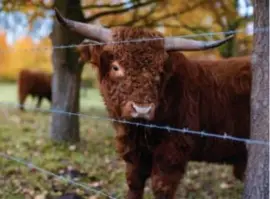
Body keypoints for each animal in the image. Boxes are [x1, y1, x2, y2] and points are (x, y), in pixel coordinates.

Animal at [54, 9, 251, 199]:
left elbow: (161, 188)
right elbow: (134, 184)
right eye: (116, 67)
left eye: (158, 72)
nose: (142, 109)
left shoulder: (172, 152)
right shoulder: (135, 155)